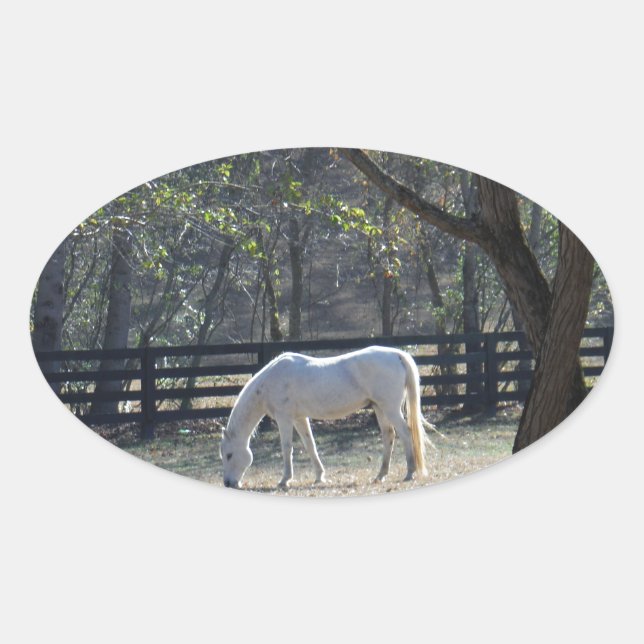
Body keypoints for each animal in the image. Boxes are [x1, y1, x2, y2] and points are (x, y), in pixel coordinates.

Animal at [220, 345, 431, 489]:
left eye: (229, 455)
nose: (228, 483)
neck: (271, 380)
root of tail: (396, 354)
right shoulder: (299, 418)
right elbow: (310, 445)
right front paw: (319, 476)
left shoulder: (284, 418)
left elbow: (286, 448)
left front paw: (285, 480)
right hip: (380, 408)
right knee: (389, 436)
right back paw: (380, 475)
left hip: (390, 408)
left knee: (406, 433)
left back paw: (410, 472)